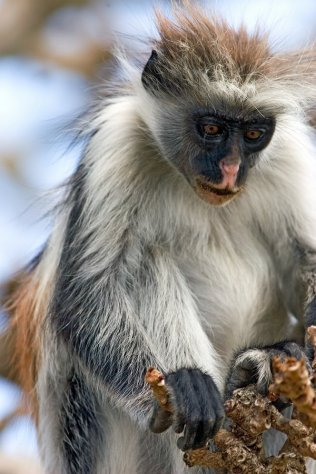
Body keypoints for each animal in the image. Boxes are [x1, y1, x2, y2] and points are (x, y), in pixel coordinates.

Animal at [6, 3, 316, 474]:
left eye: (253, 134)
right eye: (210, 129)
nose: (230, 171)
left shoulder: (291, 152)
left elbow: (308, 261)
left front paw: (288, 354)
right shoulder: (116, 143)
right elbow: (85, 293)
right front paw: (177, 388)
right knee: (141, 260)